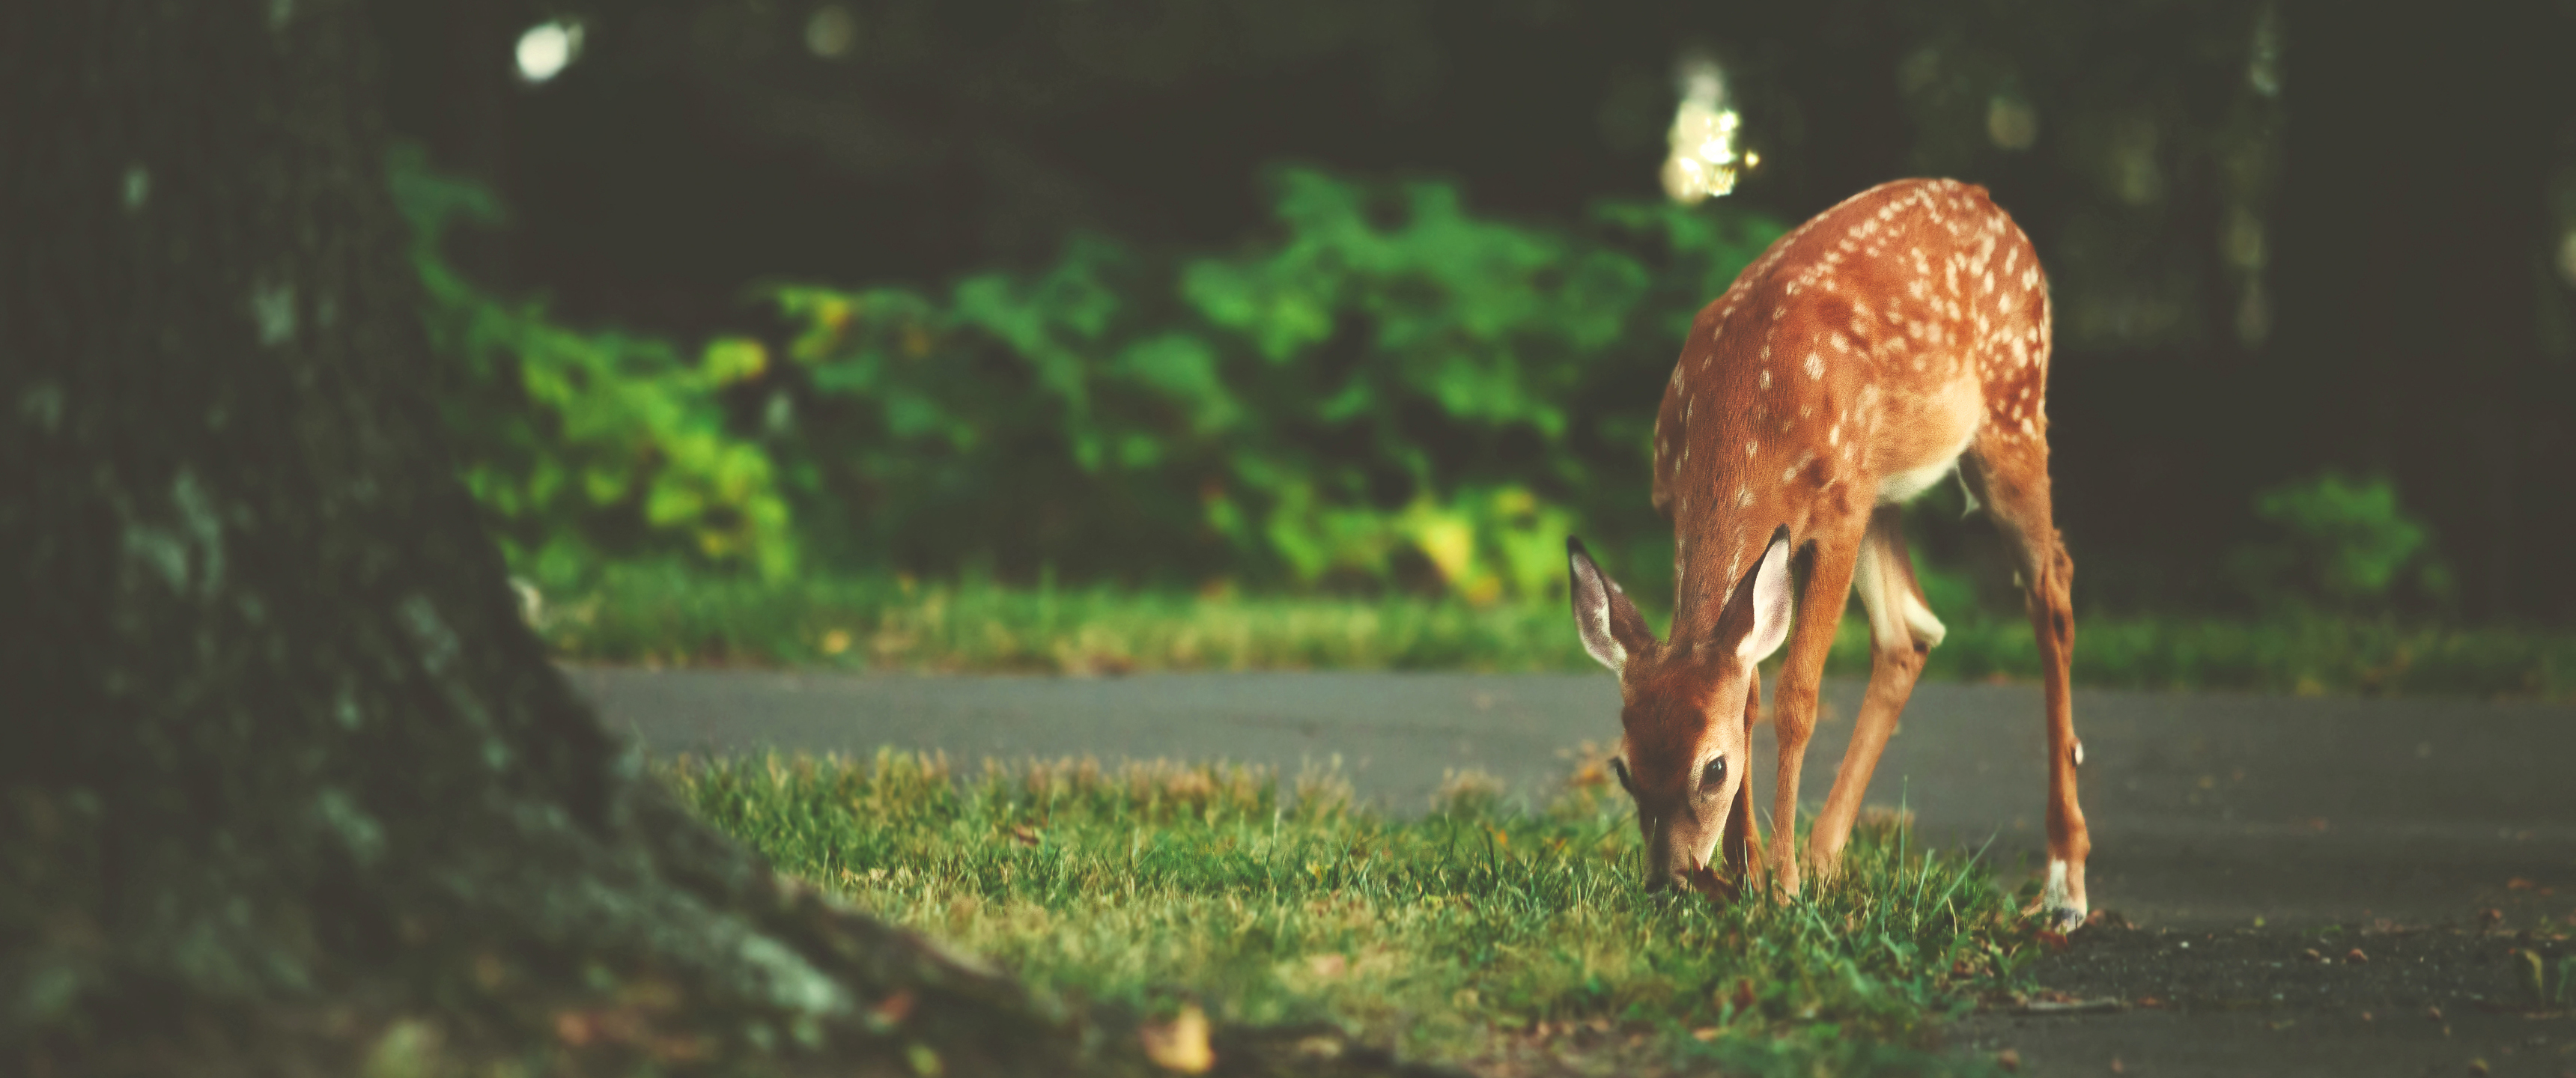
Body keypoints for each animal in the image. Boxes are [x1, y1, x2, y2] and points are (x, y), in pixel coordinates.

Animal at [1566, 178, 2090, 931]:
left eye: (1713, 769)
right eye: (1624, 768)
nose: (1669, 881)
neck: (1746, 415)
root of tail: (1992, 205)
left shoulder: (1839, 512)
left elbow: (1795, 698)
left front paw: (1777, 887)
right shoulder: (1688, 510)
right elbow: (1749, 689)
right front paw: (1749, 875)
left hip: (2011, 412)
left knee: (2052, 588)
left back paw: (2065, 883)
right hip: (1886, 491)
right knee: (1911, 630)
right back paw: (1824, 860)